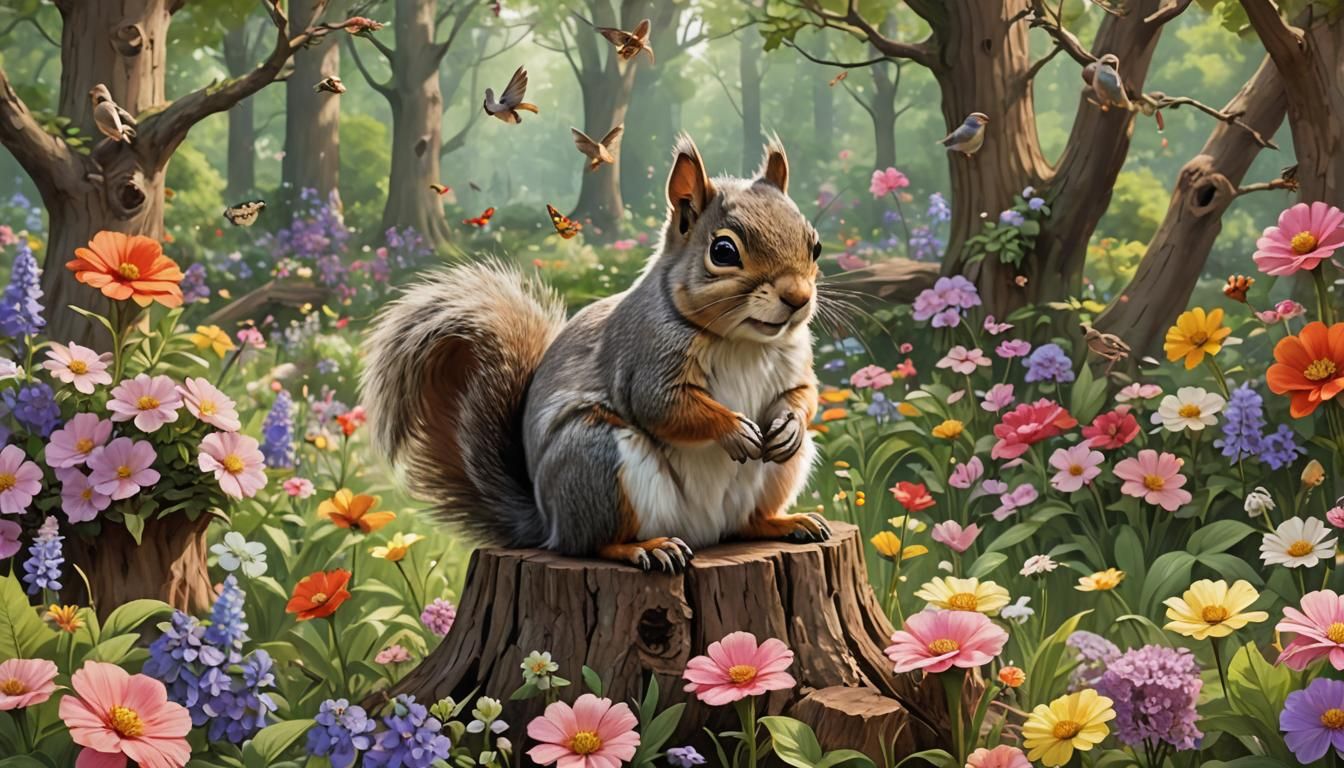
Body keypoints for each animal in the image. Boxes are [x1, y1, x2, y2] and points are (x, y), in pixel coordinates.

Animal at [360, 134, 830, 572]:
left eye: (815, 245)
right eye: (724, 251)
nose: (798, 298)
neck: (742, 341)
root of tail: (548, 523)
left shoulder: (794, 362)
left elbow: (803, 395)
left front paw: (788, 424)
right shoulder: (646, 357)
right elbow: (664, 406)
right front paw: (733, 428)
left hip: (773, 476)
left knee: (746, 522)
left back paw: (787, 521)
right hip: (595, 459)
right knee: (592, 543)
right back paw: (646, 548)